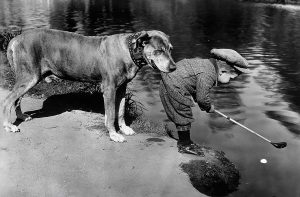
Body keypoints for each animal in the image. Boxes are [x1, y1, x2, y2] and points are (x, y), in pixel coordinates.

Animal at [1, 28, 176, 142]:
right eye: (159, 51)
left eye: (170, 49)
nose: (174, 67)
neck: (129, 49)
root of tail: (16, 38)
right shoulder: (109, 89)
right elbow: (111, 114)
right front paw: (114, 134)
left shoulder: (121, 89)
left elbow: (120, 111)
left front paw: (124, 128)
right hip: (29, 77)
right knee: (8, 100)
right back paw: (9, 125)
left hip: (29, 78)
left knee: (17, 99)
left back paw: (21, 116)